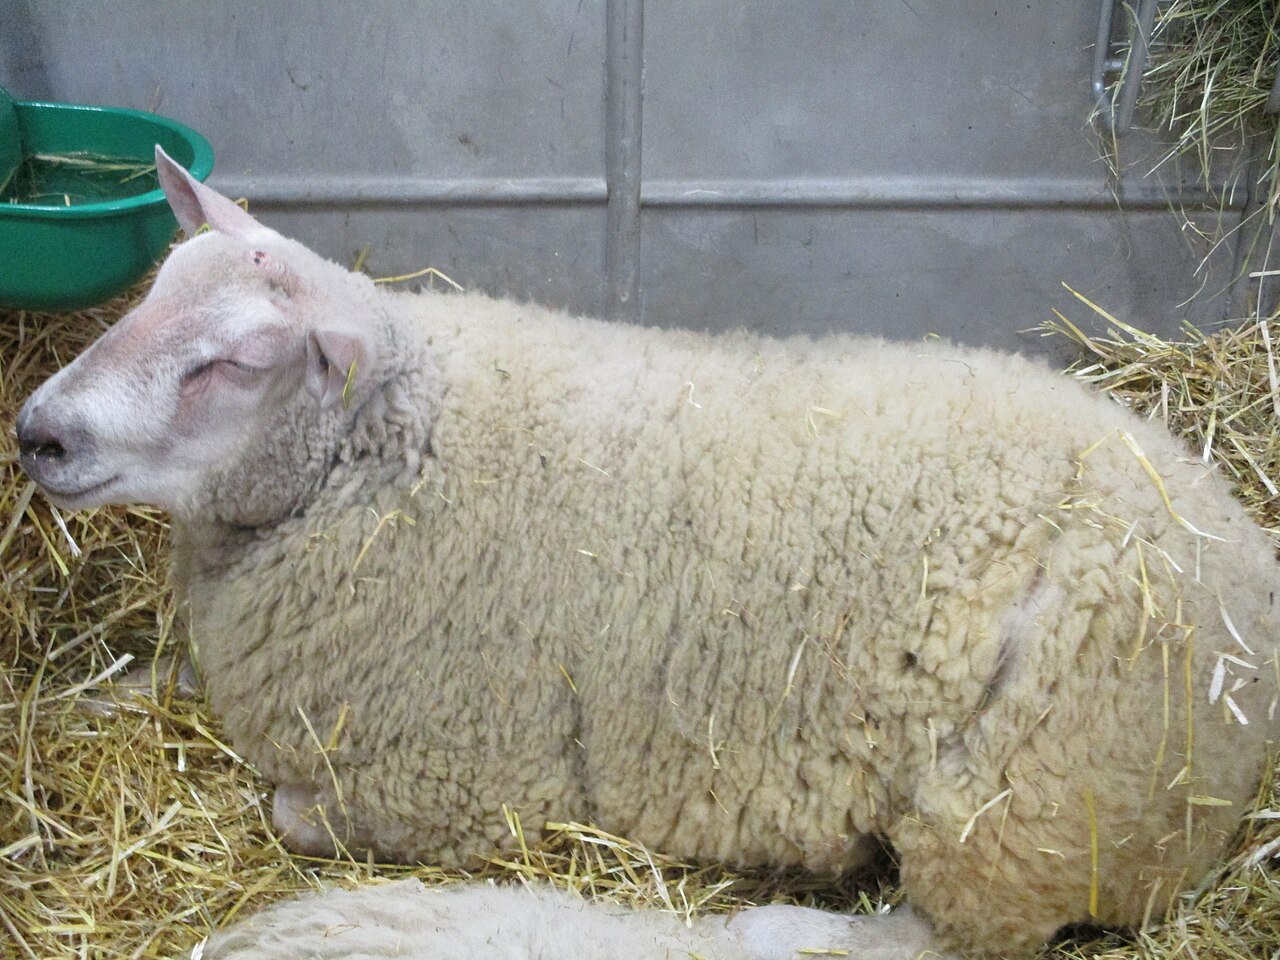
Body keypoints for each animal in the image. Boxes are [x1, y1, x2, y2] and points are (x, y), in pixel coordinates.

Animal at [16, 147, 1280, 960]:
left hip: (1020, 803)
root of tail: (1232, 546)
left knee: (963, 936)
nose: (37, 432)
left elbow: (288, 813)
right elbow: (132, 684)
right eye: (151, 294)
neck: (389, 447)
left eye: (229, 364)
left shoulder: (466, 786)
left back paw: (782, 925)